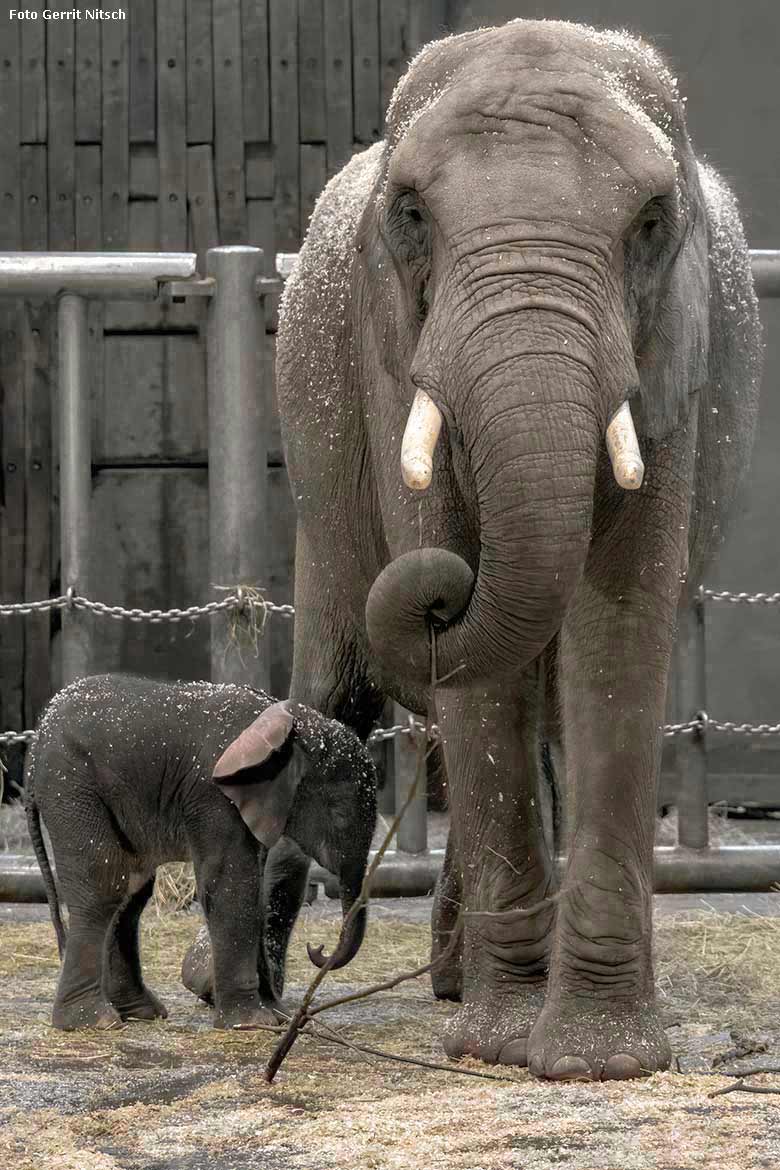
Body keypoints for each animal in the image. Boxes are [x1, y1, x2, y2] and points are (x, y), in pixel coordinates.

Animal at [25, 673, 378, 1029]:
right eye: (339, 814)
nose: (317, 949)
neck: (279, 725)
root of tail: (36, 741)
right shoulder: (212, 796)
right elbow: (232, 886)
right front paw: (250, 1022)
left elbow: (256, 890)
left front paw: (277, 1016)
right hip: (71, 786)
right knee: (104, 883)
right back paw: (95, 1021)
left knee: (132, 891)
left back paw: (139, 1013)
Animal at [270, 18, 762, 1076]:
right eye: (411, 214)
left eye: (652, 222)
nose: (443, 591)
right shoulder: (388, 350)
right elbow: (481, 675)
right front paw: (502, 1046)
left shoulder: (675, 357)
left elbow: (615, 633)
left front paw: (596, 1060)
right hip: (321, 487)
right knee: (334, 689)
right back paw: (247, 994)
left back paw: (456, 984)